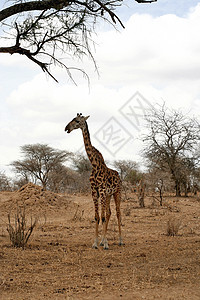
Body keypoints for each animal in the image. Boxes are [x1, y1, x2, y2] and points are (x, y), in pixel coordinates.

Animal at [65, 113, 122, 250]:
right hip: (108, 195)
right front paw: (96, 243)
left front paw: (105, 244)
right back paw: (103, 240)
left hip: (117, 192)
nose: (66, 128)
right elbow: (97, 217)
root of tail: (118, 175)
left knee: (118, 213)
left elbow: (102, 217)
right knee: (109, 213)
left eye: (77, 120)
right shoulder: (94, 191)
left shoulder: (101, 191)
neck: (95, 165)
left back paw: (120, 240)